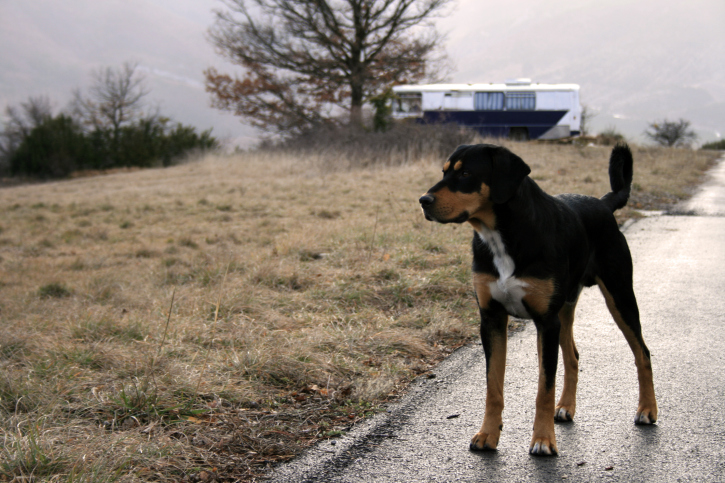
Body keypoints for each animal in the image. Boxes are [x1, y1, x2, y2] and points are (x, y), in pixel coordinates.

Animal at [418, 144, 656, 458]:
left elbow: (544, 388)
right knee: (573, 356)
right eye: (444, 172)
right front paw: (487, 434)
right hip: (565, 309)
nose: (423, 200)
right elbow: (493, 387)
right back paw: (566, 407)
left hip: (619, 296)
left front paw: (543, 440)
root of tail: (604, 204)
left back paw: (647, 410)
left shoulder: (545, 322)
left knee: (643, 353)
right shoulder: (492, 319)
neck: (503, 236)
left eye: (466, 173)